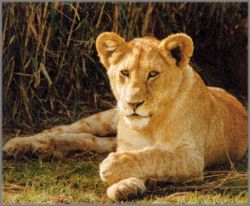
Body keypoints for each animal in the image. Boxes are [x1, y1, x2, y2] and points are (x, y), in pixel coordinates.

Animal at [2, 32, 247, 201]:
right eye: (125, 73)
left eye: (153, 74)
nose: (133, 103)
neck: (150, 125)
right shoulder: (130, 144)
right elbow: (147, 155)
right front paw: (124, 180)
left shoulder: (192, 158)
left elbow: (155, 156)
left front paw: (120, 177)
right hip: (105, 118)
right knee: (66, 129)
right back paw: (22, 144)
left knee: (89, 140)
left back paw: (47, 149)